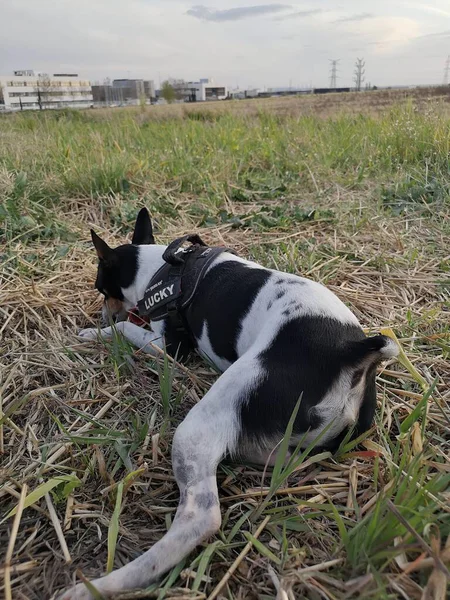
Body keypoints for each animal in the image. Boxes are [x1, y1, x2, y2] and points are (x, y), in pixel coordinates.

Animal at [61, 209, 400, 596]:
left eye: (100, 287)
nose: (104, 314)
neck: (159, 268)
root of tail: (350, 354)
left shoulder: (169, 348)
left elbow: (125, 331)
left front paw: (94, 332)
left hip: (201, 425)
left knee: (201, 516)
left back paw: (100, 584)